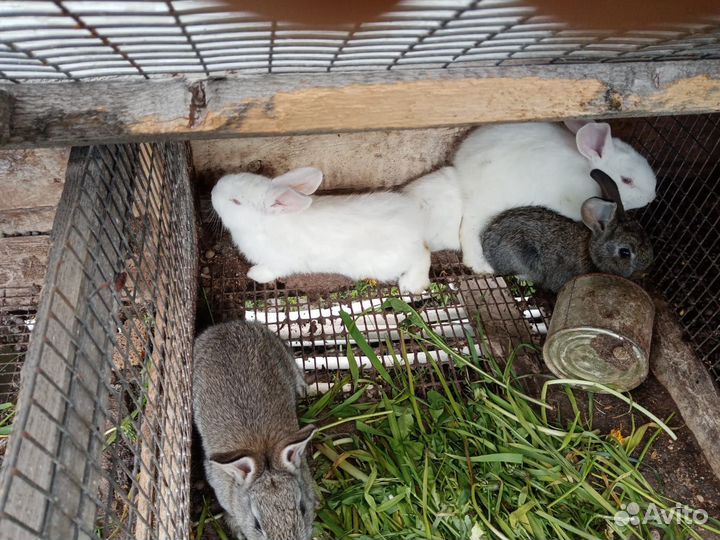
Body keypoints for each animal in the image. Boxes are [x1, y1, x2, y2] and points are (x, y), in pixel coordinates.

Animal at [212, 167, 431, 293]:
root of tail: (414, 220)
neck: (262, 225)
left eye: (236, 201)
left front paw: (253, 274)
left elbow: (269, 271)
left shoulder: (278, 263)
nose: (213, 191)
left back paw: (411, 284)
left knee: (423, 255)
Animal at [453, 120, 657, 273]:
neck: (587, 167)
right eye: (627, 180)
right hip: (488, 204)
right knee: (468, 228)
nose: (652, 196)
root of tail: (462, 167)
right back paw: (479, 265)